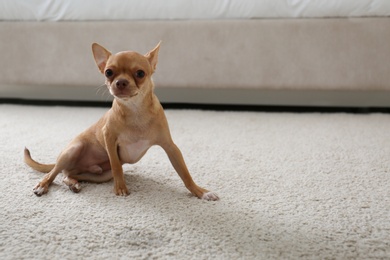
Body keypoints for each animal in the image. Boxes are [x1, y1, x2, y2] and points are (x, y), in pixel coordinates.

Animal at [24, 42, 219, 201]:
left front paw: (200, 192)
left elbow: (185, 174)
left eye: (140, 73)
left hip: (101, 174)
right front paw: (120, 188)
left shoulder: (171, 147)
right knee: (53, 173)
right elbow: (117, 166)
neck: (135, 110)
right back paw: (43, 185)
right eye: (109, 72)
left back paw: (73, 183)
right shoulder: (109, 139)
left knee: (68, 175)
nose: (121, 82)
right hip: (73, 150)